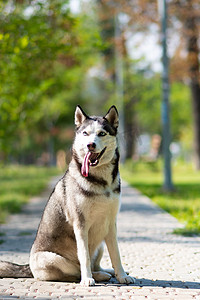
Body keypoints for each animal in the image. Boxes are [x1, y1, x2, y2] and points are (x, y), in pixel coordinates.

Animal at [0, 105, 135, 286]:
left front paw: (122, 275)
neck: (100, 182)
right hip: (54, 259)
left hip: (99, 245)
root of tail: (28, 268)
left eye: (101, 133)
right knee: (76, 271)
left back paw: (107, 271)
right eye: (85, 133)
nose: (90, 145)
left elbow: (116, 254)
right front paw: (87, 279)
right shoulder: (80, 225)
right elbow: (84, 257)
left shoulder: (110, 223)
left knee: (96, 264)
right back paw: (94, 276)